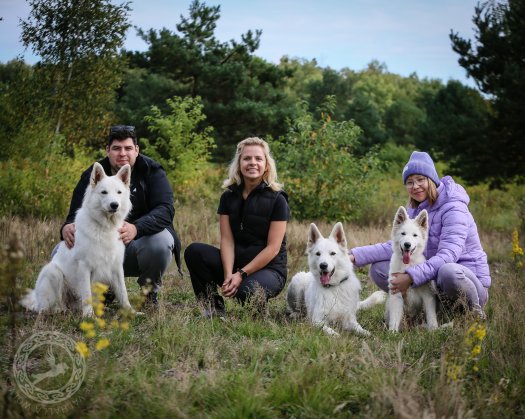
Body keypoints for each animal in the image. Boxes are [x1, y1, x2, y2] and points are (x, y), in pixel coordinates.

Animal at [20, 162, 135, 316]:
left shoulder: (116, 267)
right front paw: (89, 315)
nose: (114, 205)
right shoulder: (84, 267)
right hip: (53, 272)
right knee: (47, 307)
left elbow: (123, 292)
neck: (104, 227)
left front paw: (131, 312)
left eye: (119, 192)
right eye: (104, 192)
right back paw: (58, 310)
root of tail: (36, 300)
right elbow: (86, 294)